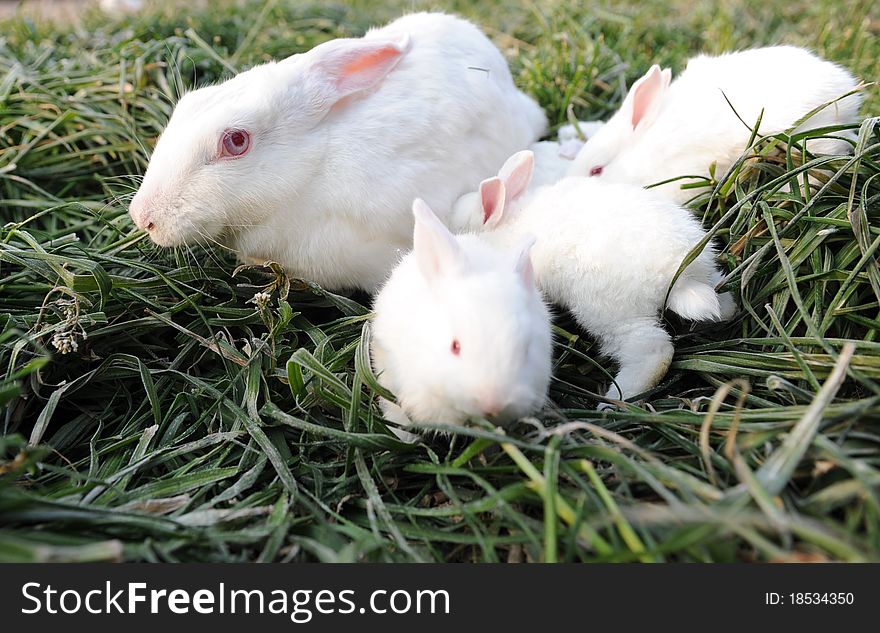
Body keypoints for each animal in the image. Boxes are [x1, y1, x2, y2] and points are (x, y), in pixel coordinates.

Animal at [450, 149, 732, 400]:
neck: (504, 221)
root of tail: (682, 279)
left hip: (610, 313)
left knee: (654, 351)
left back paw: (615, 400)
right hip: (709, 275)